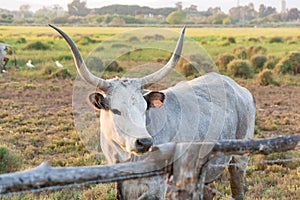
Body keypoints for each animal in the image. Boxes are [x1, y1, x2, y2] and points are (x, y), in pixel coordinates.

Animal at [49, 24, 255, 199]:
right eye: (116, 110)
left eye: (144, 108)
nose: (144, 142)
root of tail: (235, 86)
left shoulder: (157, 187)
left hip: (239, 158)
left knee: (238, 188)